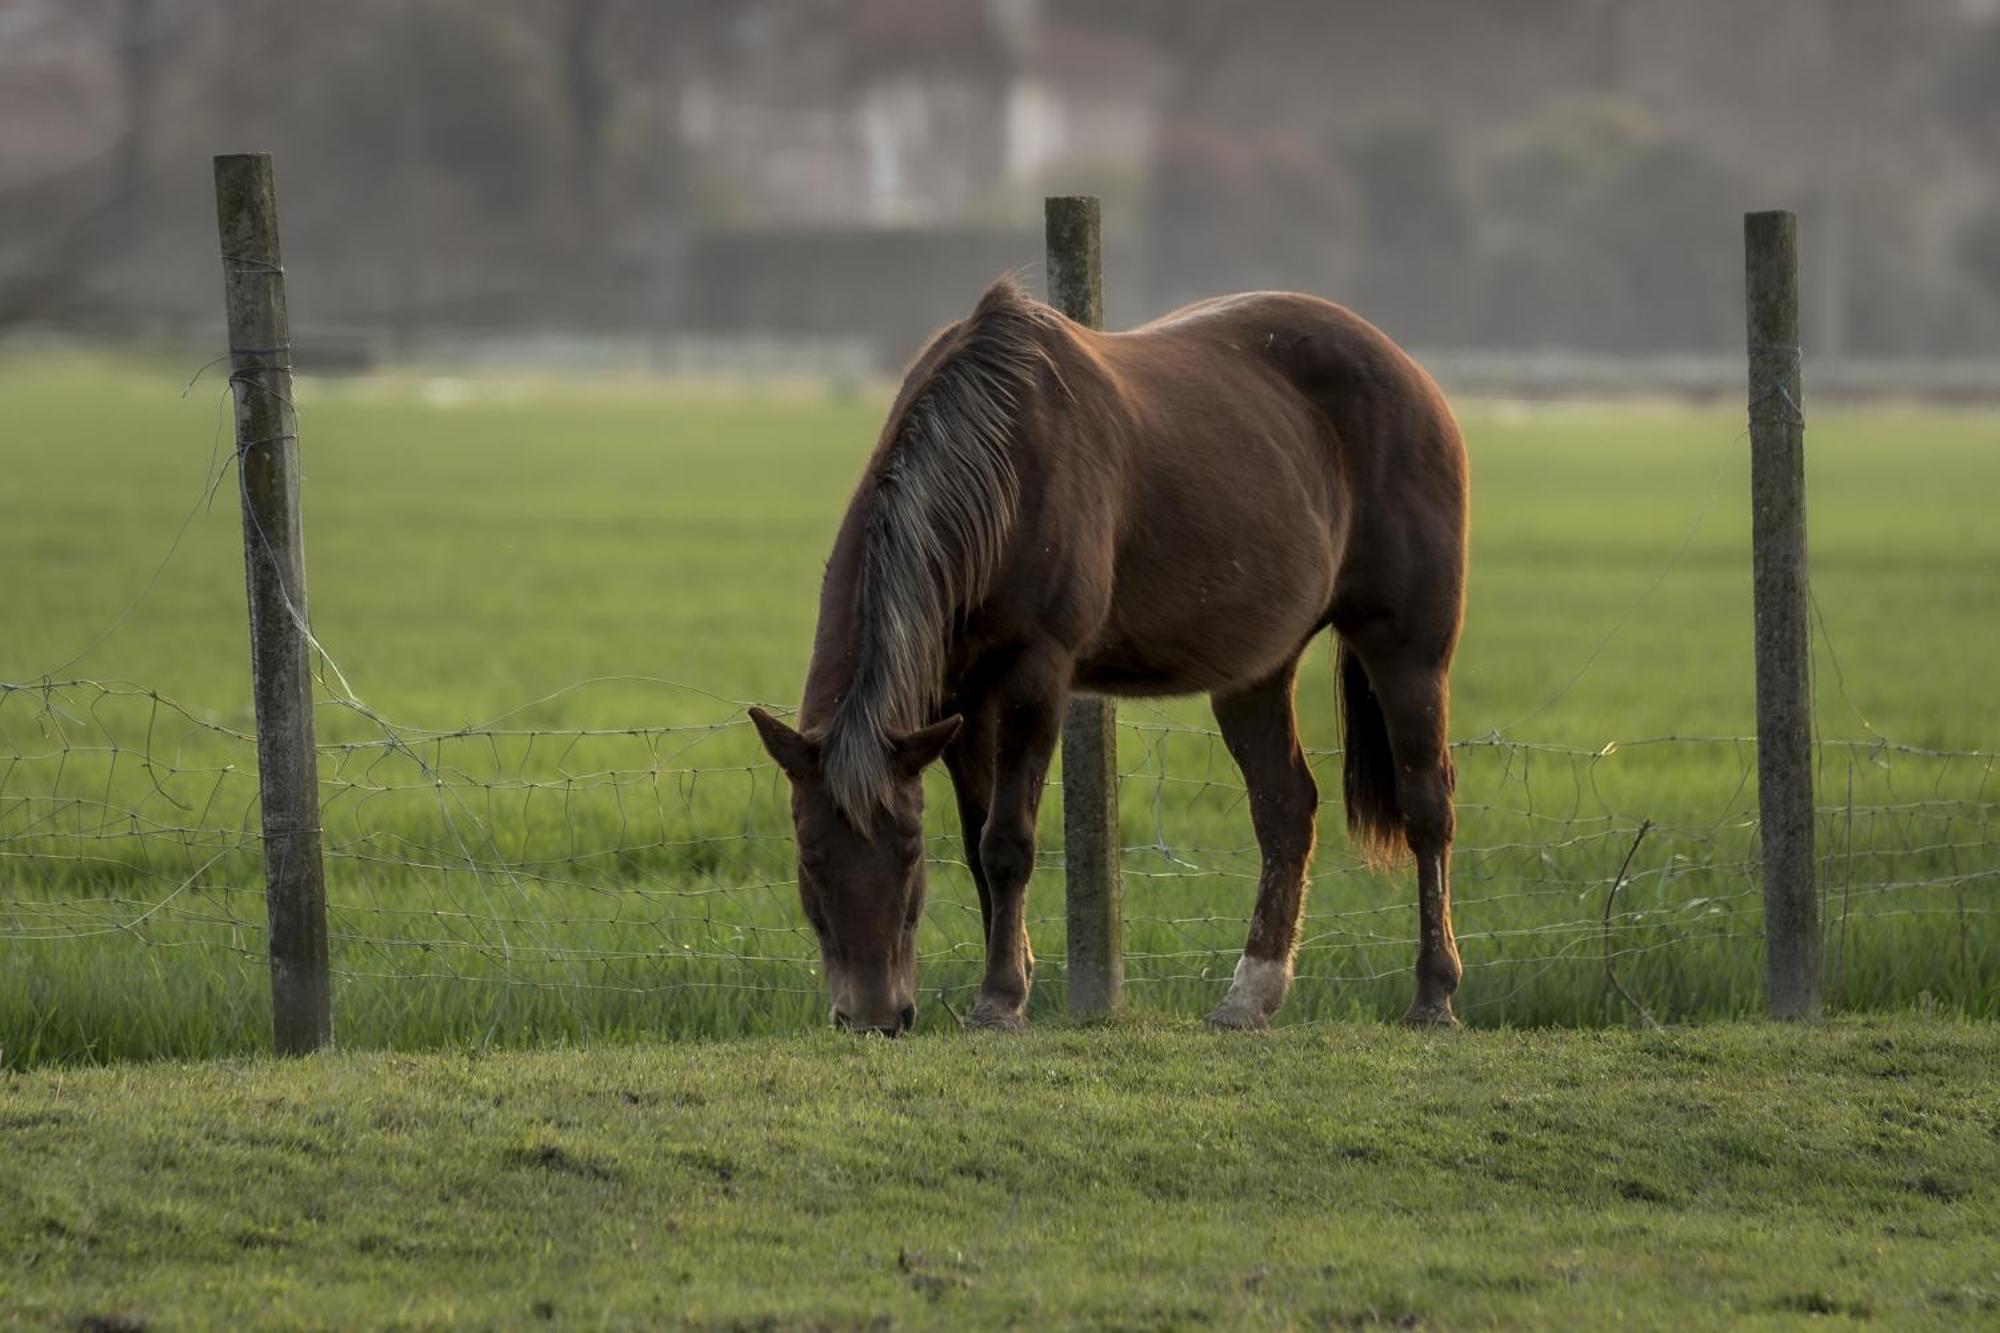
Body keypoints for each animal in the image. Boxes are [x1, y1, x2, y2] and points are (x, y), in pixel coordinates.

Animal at [752, 274, 1472, 1032]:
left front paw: (1001, 997)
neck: (1001, 463)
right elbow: (978, 843)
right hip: (1255, 671)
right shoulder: (955, 704)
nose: (873, 1016)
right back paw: (1250, 995)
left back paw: (1433, 993)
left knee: (1427, 807)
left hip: (1409, 651)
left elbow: (1007, 843)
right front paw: (1010, 976)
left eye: (911, 848)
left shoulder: (1036, 674)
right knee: (1284, 810)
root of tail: (1412, 376)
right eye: (809, 854)